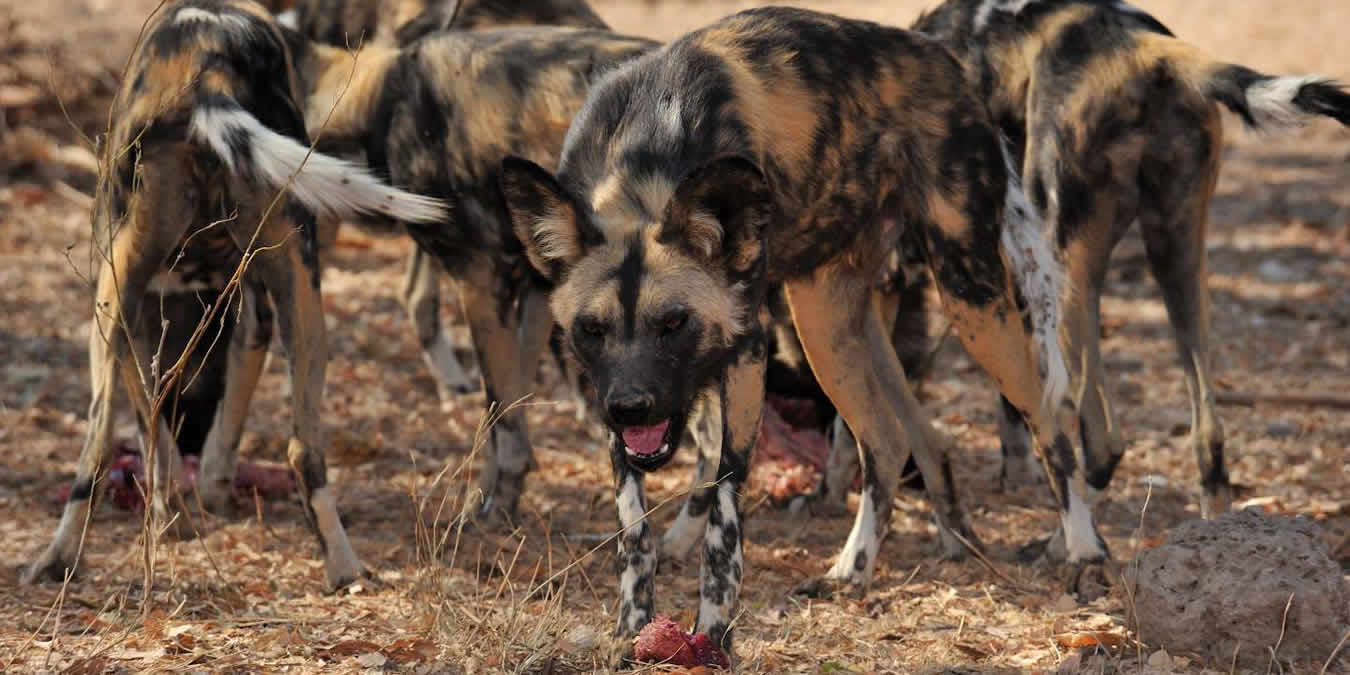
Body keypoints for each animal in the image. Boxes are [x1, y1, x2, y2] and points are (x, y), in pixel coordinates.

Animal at [21, 0, 450, 591]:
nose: (193, 433)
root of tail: (209, 71)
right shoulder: (187, 314)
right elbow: (181, 422)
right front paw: (193, 496)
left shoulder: (174, 316)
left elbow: (173, 432)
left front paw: (185, 503)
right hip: (295, 296)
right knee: (299, 450)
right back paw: (343, 567)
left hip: (149, 296)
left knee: (104, 444)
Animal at [276, 23, 656, 518]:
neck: (382, 102)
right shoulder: (535, 288)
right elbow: (510, 406)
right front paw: (495, 494)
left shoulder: (478, 281)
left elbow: (502, 417)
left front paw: (495, 505)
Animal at [504, 7, 1085, 656]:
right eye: (593, 329)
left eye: (674, 324)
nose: (633, 407)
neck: (644, 158)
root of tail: (946, 59)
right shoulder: (611, 398)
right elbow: (634, 528)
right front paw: (633, 626)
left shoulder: (746, 353)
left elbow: (723, 517)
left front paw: (713, 632)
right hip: (827, 322)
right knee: (894, 439)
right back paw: (871, 564)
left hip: (971, 298)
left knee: (1050, 421)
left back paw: (1082, 551)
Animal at [896, 0, 1350, 523]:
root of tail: (1140, 48)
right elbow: (1014, 400)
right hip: (1175, 253)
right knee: (1209, 436)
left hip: (1066, 261)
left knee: (1104, 439)